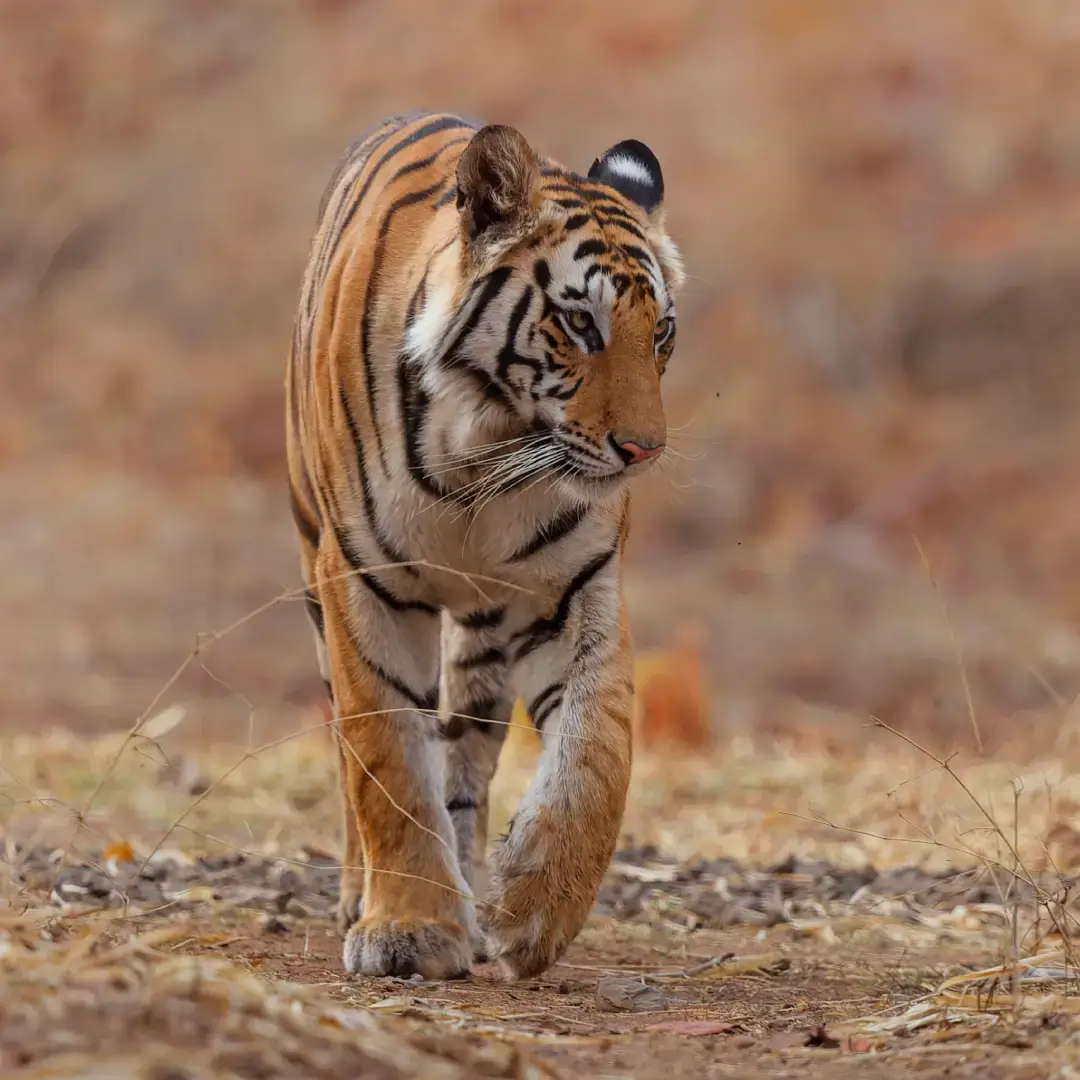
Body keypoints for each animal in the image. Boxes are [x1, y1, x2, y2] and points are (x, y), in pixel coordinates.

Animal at [285, 111, 682, 989]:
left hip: (484, 633)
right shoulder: (361, 582)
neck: (488, 452)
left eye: (662, 333)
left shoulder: (576, 585)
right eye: (581, 324)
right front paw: (409, 929)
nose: (644, 451)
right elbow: (387, 763)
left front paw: (535, 907)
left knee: (465, 760)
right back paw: (367, 897)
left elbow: (597, 751)